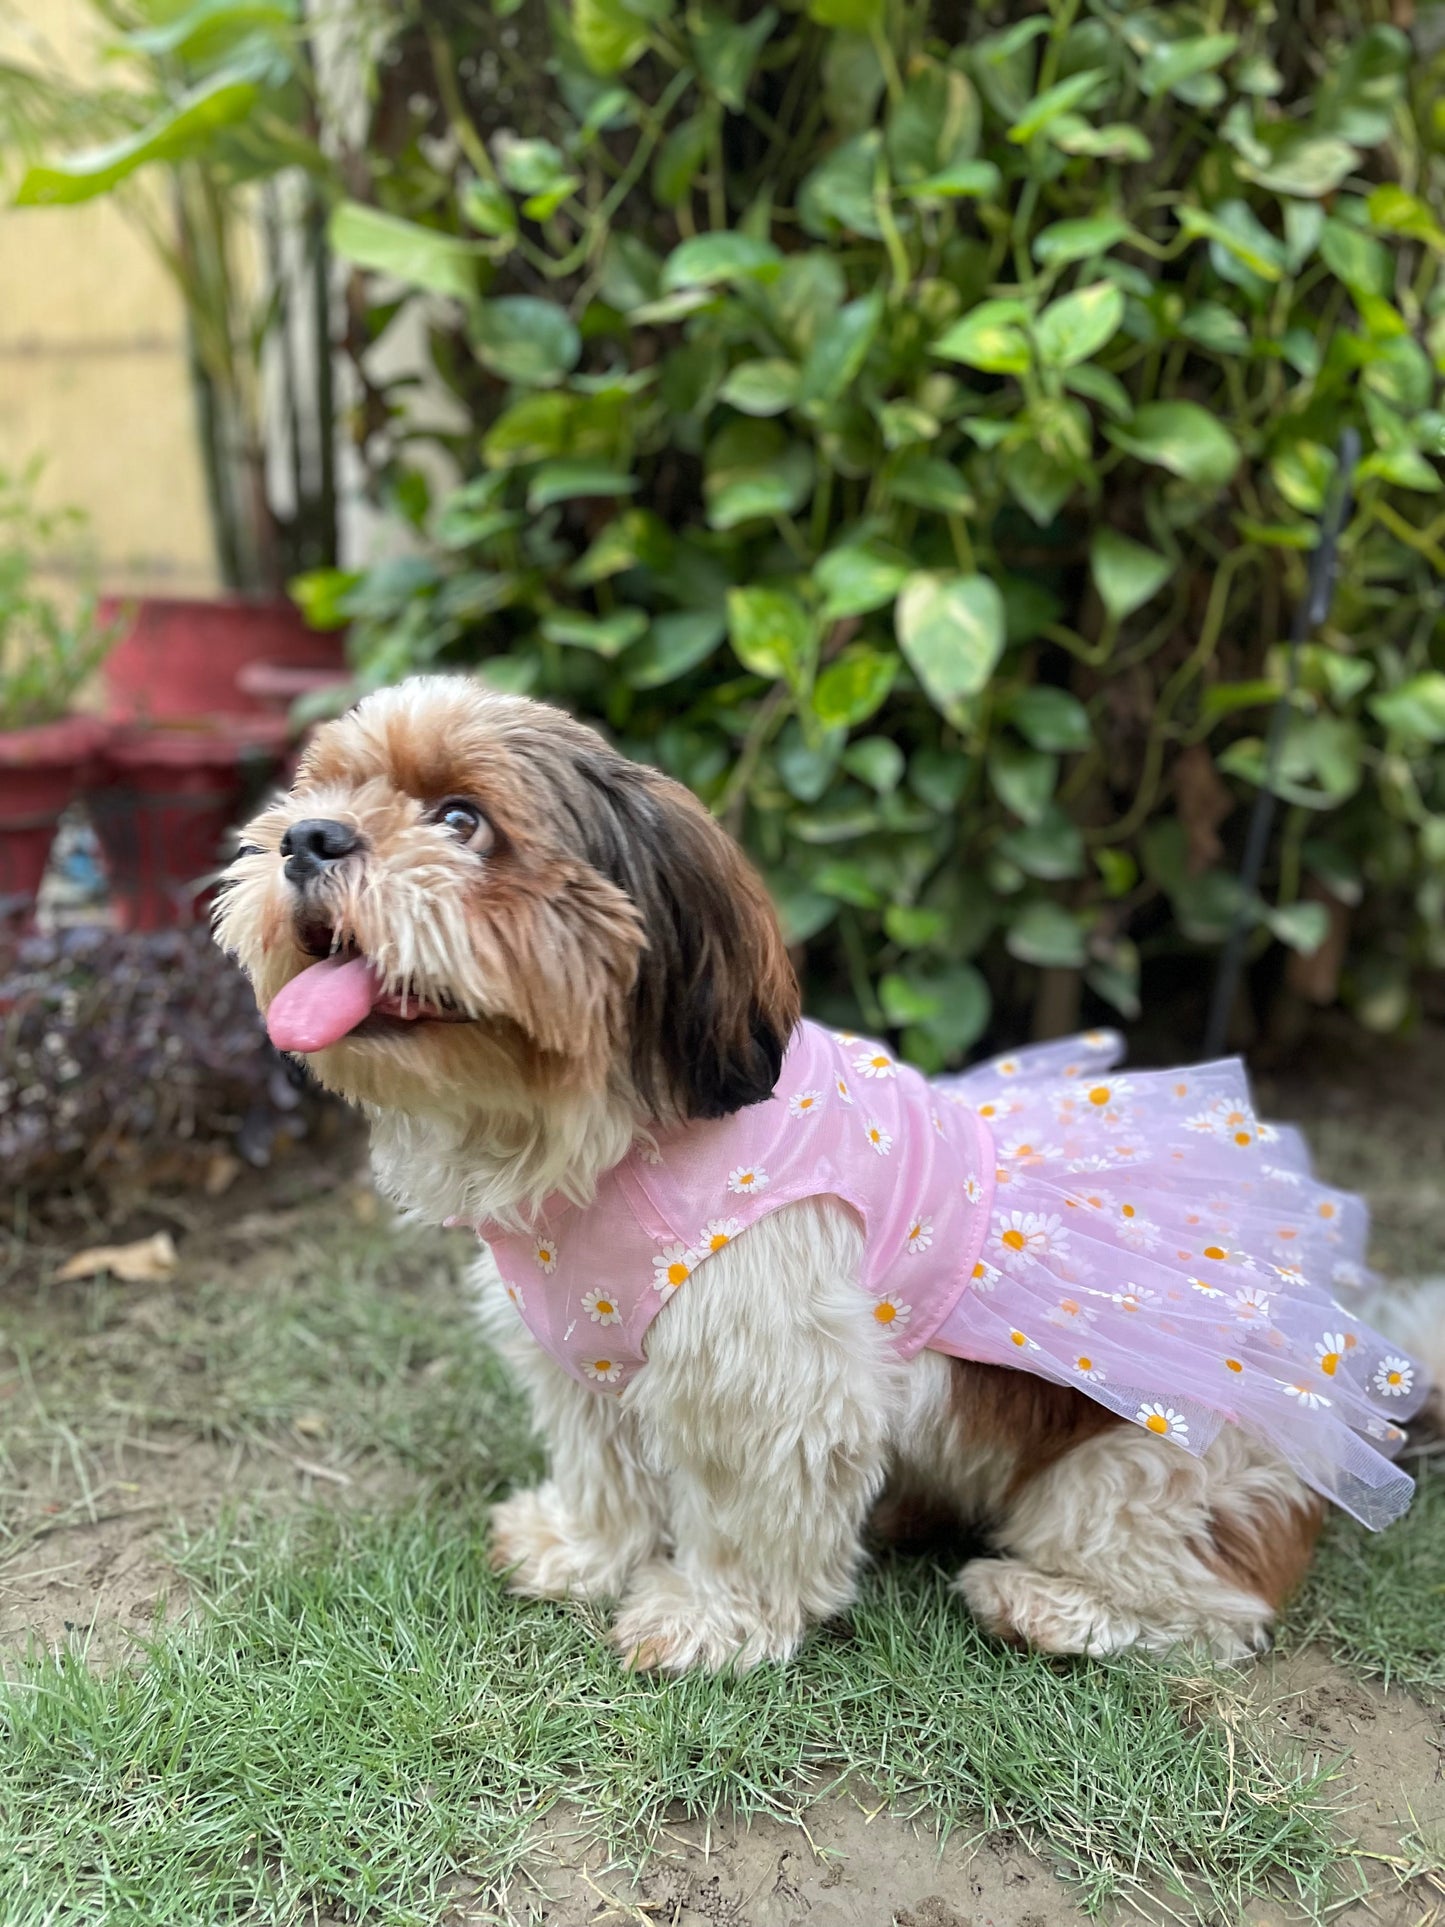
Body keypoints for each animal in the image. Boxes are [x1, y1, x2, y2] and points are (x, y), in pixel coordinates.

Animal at [217, 678, 1445, 1672]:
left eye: (461, 820)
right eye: (325, 788)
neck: (603, 1136)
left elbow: (745, 1515)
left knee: (1218, 1610)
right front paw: (581, 1549)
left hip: (1137, 1483)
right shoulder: (586, 1362)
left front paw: (709, 1619)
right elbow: (606, 1470)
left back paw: (1047, 1606)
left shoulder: (766, 1379)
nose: (309, 835)